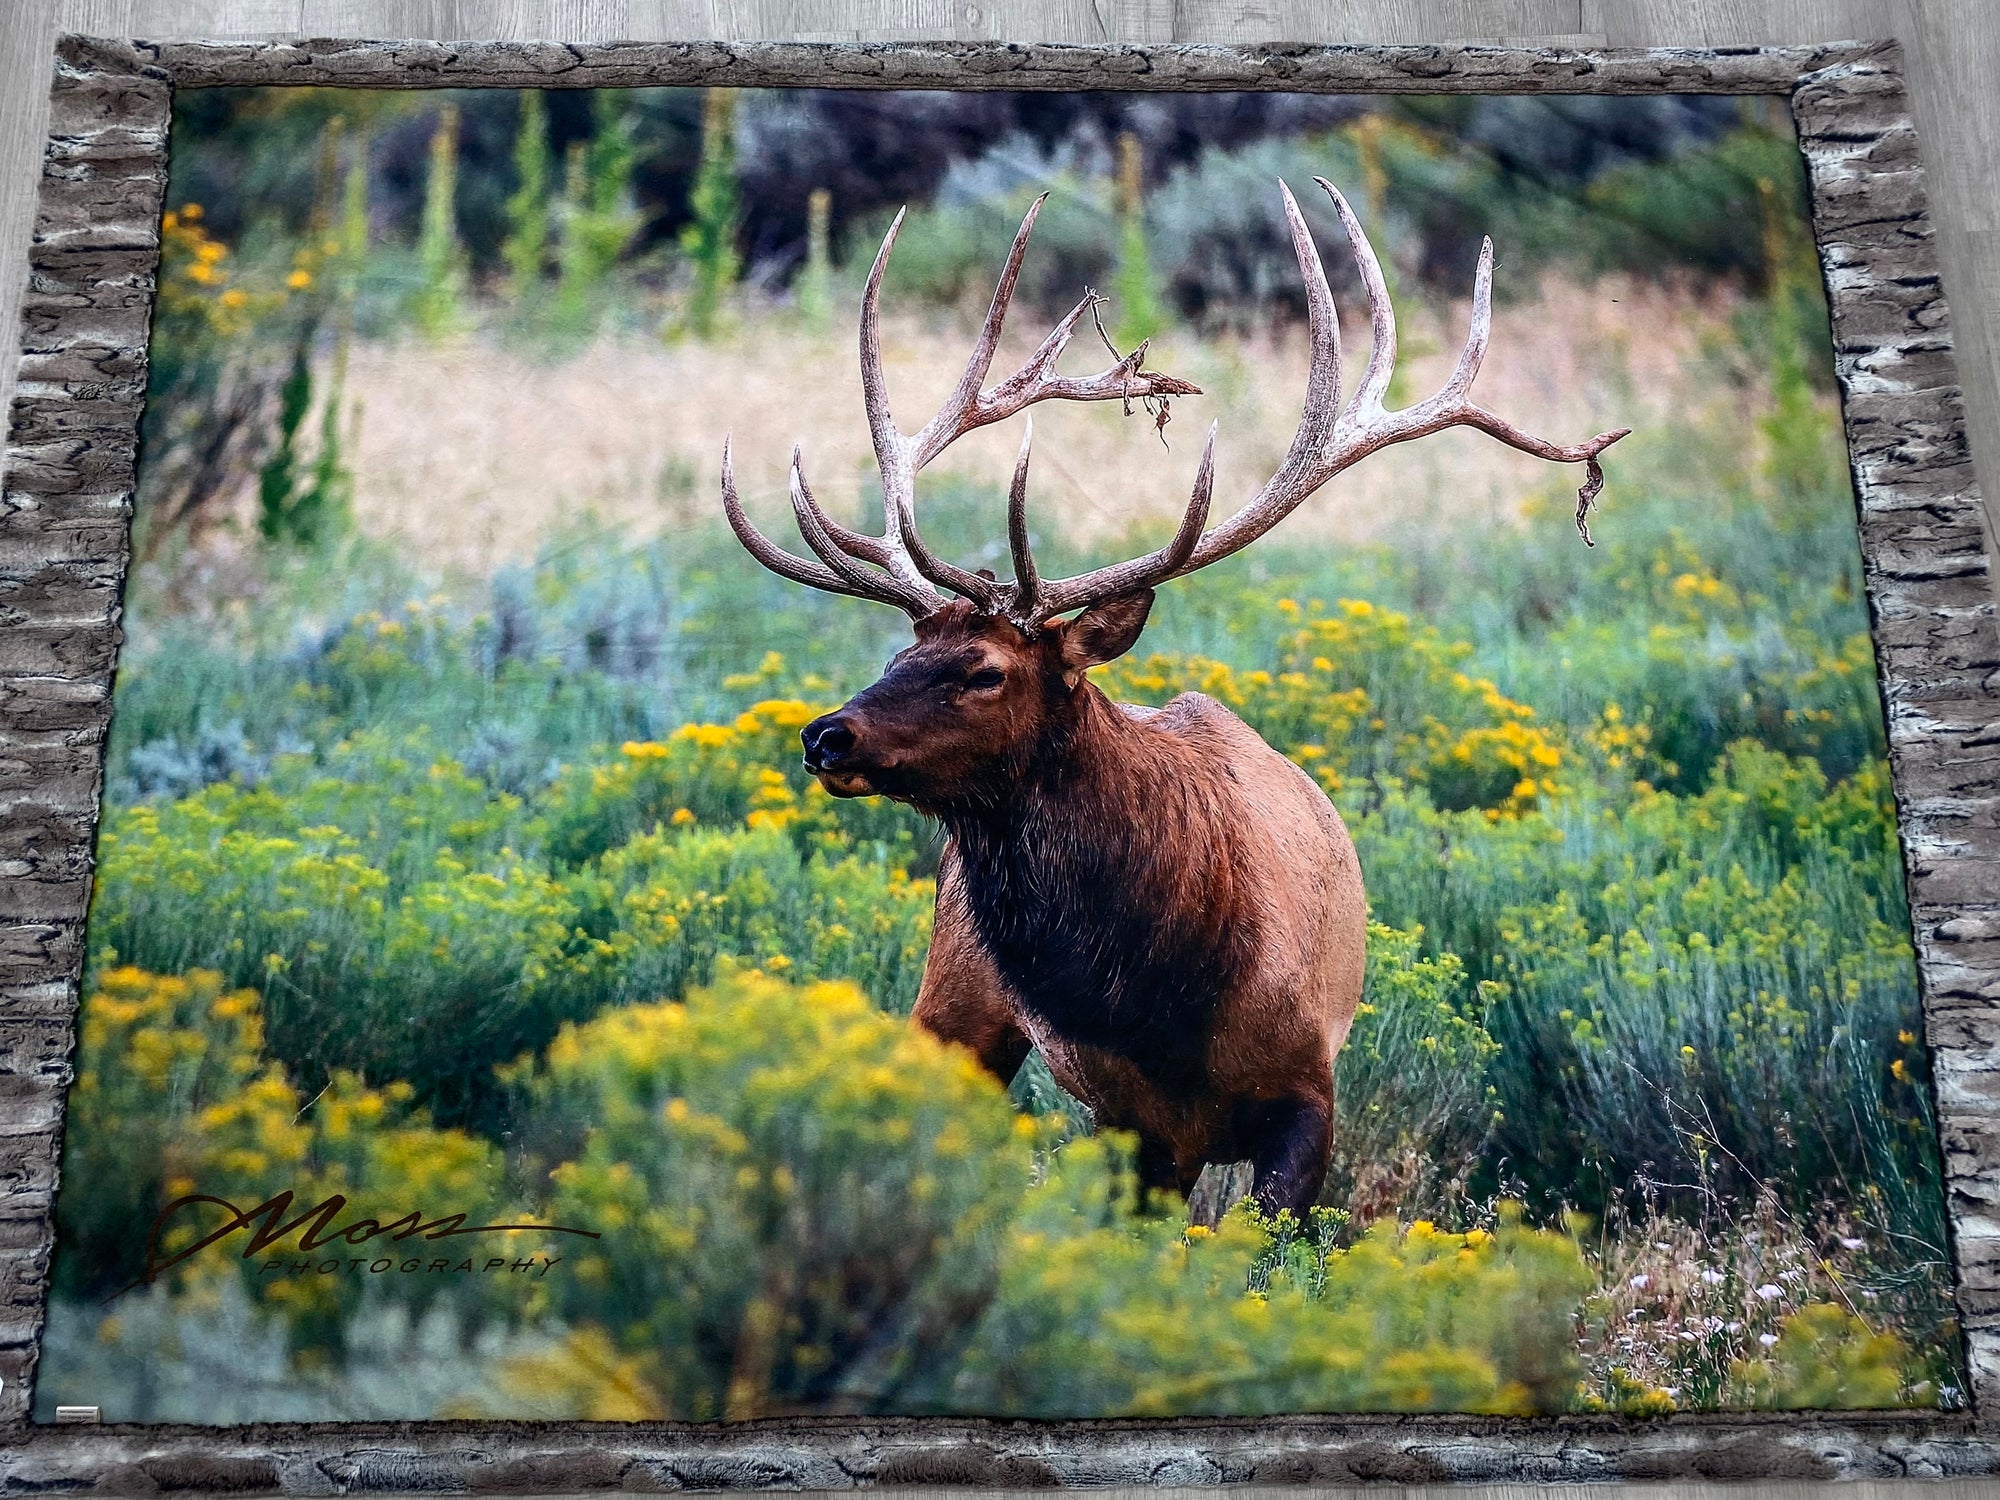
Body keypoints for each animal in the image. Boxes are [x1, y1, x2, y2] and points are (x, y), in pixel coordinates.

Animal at [720, 179, 1624, 1224]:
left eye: (985, 670)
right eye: (903, 650)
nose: (827, 736)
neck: (1165, 997)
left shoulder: (1308, 1091)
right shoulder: (1133, 1119)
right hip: (953, 998)